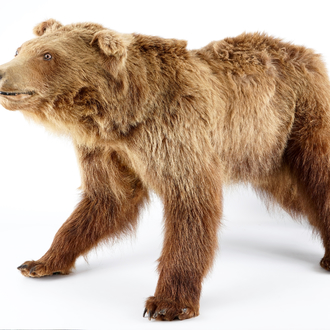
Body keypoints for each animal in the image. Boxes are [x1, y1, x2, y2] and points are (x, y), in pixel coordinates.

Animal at [0, 18, 330, 320]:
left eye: (47, 55)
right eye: (19, 49)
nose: (2, 73)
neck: (123, 115)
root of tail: (310, 54)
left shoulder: (176, 131)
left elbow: (190, 205)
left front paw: (167, 303)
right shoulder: (105, 149)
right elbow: (108, 197)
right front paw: (39, 262)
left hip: (301, 118)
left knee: (319, 180)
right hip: (265, 148)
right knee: (295, 193)